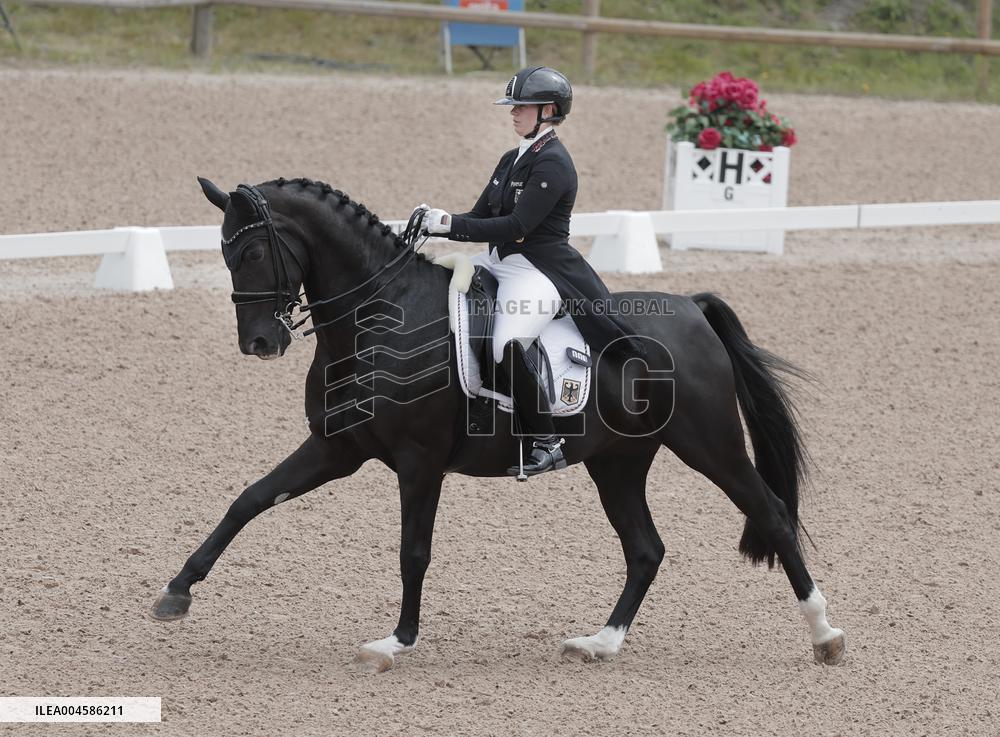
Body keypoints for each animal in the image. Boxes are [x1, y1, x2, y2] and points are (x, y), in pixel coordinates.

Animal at [150, 176, 846, 672]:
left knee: (771, 513)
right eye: (223, 251)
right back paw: (599, 644)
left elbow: (414, 550)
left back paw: (826, 636)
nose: (260, 343)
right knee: (646, 548)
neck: (380, 314)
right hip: (617, 462)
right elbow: (249, 500)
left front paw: (396, 642)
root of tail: (693, 309)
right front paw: (175, 594)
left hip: (710, 445)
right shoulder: (335, 448)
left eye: (254, 249)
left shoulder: (419, 460)